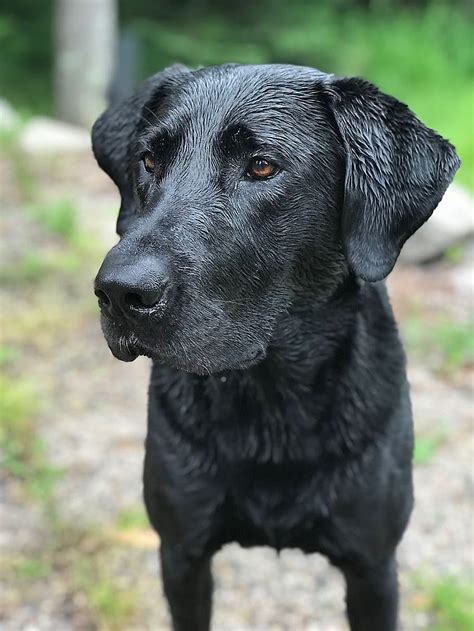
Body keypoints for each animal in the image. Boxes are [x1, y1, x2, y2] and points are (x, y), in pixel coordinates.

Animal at [91, 65, 460, 631]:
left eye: (262, 166)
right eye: (149, 160)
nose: (118, 292)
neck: (271, 397)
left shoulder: (373, 565)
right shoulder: (181, 551)